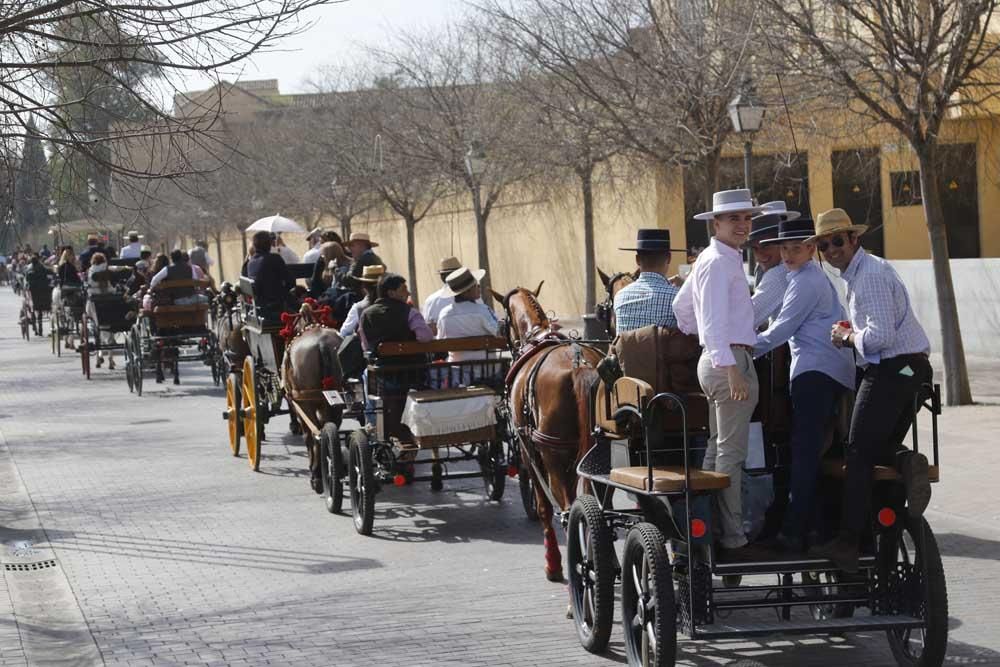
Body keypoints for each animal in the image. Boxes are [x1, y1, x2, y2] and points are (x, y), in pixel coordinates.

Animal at [492, 284, 600, 580]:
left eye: (502, 321)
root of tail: (579, 366)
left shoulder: (529, 451)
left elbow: (543, 507)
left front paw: (552, 564)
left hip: (552, 454)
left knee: (566, 510)